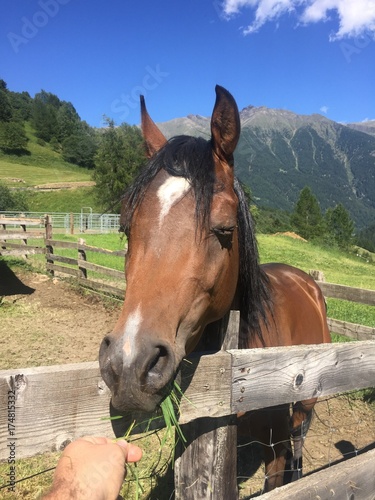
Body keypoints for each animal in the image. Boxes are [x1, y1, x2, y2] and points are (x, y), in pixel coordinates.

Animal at [100, 86, 332, 492]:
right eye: (126, 226)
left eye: (225, 228)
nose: (128, 366)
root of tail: (306, 280)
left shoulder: (274, 444)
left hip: (306, 402)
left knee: (299, 436)